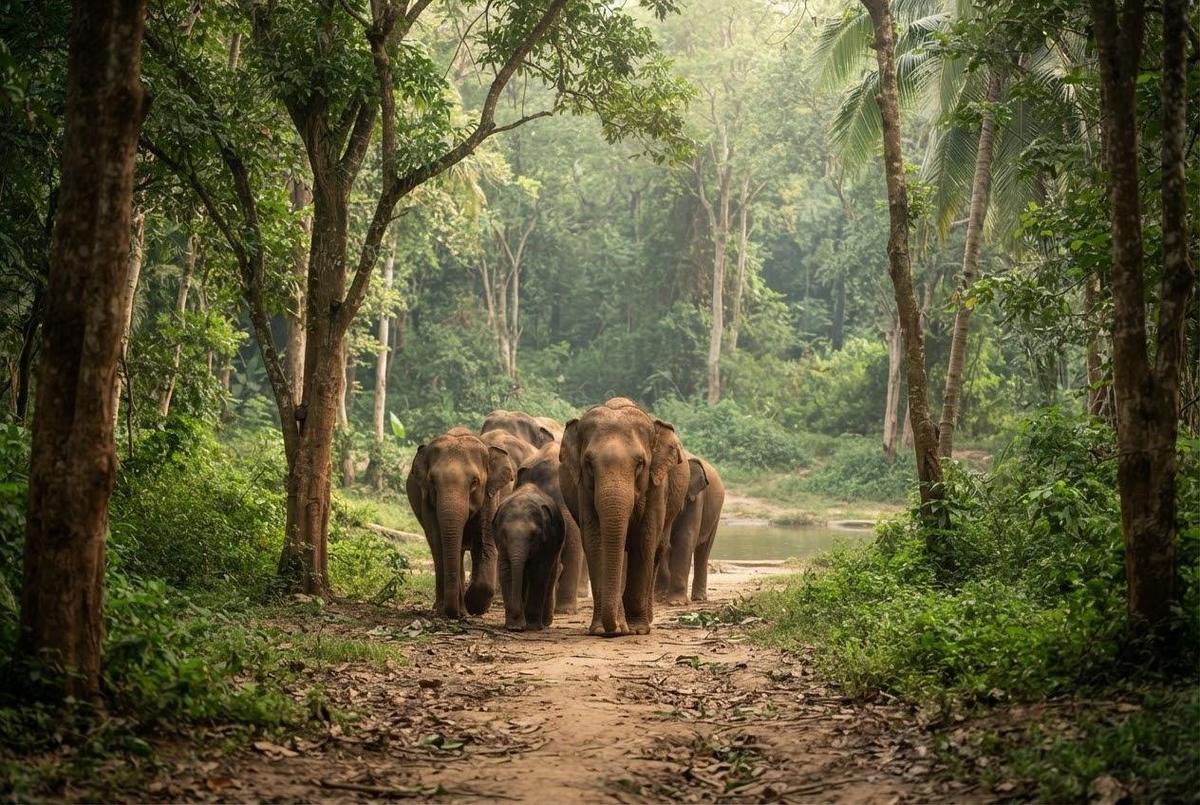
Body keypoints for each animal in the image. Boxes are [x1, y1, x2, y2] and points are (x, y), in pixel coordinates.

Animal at [405, 427, 515, 619]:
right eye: (432, 481)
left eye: (475, 482)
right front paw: (453, 609)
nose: (453, 614)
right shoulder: (427, 501)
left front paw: (473, 605)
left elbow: (484, 542)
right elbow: (439, 543)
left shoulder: (490, 497)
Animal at [492, 484, 565, 631]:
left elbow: (539, 571)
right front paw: (514, 626)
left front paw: (531, 627)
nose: (516, 612)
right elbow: (507, 571)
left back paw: (545, 622)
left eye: (533, 535)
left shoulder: (548, 540)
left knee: (551, 574)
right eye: (504, 534)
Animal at [559, 397, 689, 637]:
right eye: (588, 463)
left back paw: (646, 620)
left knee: (657, 549)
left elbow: (646, 539)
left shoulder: (657, 485)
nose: (616, 629)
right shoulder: (583, 489)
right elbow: (595, 540)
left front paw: (636, 630)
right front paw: (603, 630)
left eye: (640, 463)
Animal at [655, 454, 724, 605]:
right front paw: (659, 598)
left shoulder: (696, 499)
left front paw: (676, 602)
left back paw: (699, 598)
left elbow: (685, 538)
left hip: (715, 516)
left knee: (703, 551)